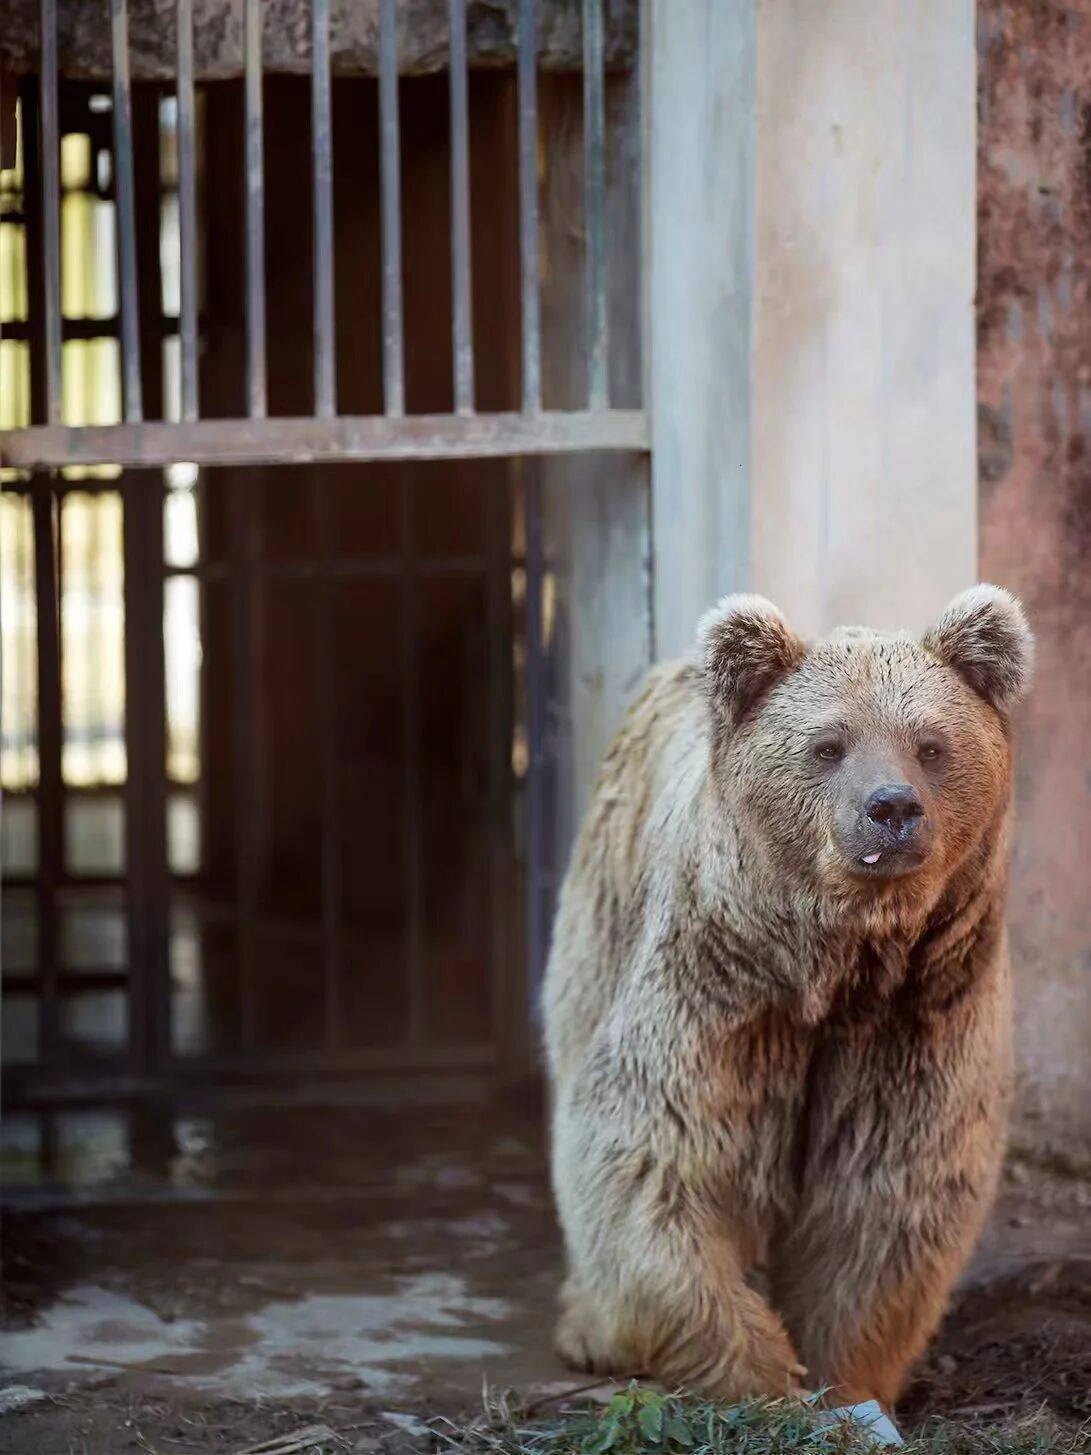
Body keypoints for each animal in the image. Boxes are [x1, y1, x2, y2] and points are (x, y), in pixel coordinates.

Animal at [542, 584, 1033, 1409]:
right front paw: (761, 1368)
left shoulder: (916, 1012)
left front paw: (842, 1375)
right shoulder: (720, 990)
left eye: (930, 744)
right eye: (828, 744)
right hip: (597, 925)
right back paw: (586, 1324)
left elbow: (886, 1190)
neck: (834, 963)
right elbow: (655, 1157)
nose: (890, 808)